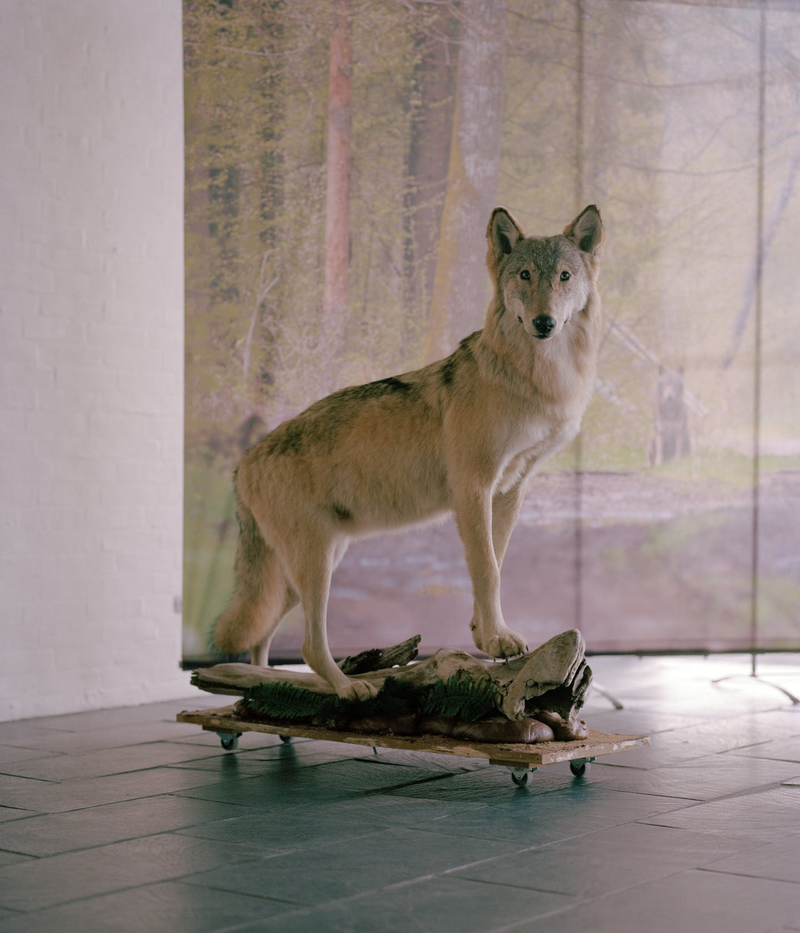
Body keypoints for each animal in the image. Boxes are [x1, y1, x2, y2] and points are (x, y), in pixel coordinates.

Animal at [213, 205, 605, 699]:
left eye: (564, 277)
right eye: (525, 275)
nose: (544, 323)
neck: (537, 379)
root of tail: (243, 462)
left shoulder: (509, 491)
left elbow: (493, 563)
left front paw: (485, 637)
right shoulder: (473, 489)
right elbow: (488, 569)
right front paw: (497, 639)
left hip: (305, 570)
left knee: (264, 637)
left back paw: (263, 686)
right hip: (315, 566)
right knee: (307, 646)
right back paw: (348, 688)